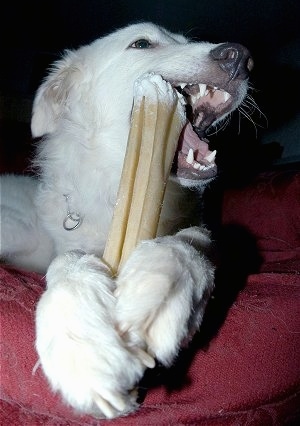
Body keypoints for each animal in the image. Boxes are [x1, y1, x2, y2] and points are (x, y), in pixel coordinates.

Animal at [0, 23, 253, 420]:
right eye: (142, 43)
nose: (240, 57)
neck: (115, 191)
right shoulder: (68, 247)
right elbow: (68, 262)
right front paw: (83, 343)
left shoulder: (208, 237)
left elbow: (190, 244)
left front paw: (158, 292)